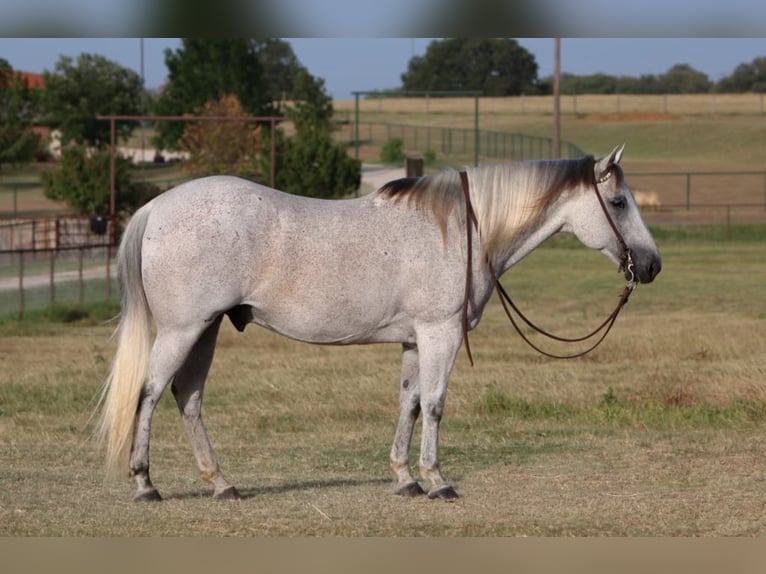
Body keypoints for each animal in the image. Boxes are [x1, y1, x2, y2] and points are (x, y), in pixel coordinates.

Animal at [96, 146, 660, 502]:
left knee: (187, 396)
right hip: (182, 329)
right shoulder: (439, 333)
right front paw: (437, 481)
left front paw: (405, 479)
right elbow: (434, 406)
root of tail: (156, 207)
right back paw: (146, 485)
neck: (463, 229)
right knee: (150, 393)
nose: (652, 265)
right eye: (617, 202)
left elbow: (408, 404)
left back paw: (221, 484)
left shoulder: (414, 340)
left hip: (206, 329)